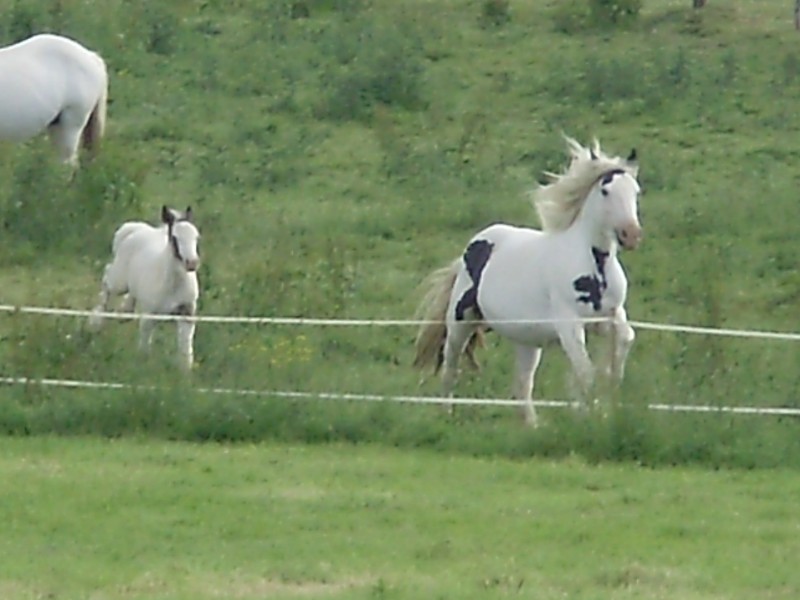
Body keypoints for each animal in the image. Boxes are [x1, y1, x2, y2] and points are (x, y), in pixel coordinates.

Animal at [90, 206, 202, 370]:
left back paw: (124, 312)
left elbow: (186, 347)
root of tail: (136, 229)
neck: (172, 286)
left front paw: (185, 372)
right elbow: (144, 342)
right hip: (120, 281)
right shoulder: (149, 314)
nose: (192, 263)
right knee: (107, 278)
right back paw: (96, 321)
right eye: (175, 238)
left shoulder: (187, 313)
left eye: (196, 237)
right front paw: (142, 365)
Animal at [412, 138, 644, 424]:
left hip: (526, 341)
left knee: (522, 386)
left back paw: (532, 426)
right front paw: (589, 414)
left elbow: (624, 342)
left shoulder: (610, 316)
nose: (631, 235)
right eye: (605, 191)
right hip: (460, 322)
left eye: (636, 191)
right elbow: (585, 372)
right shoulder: (569, 323)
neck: (594, 266)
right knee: (450, 367)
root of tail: (472, 246)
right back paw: (447, 413)